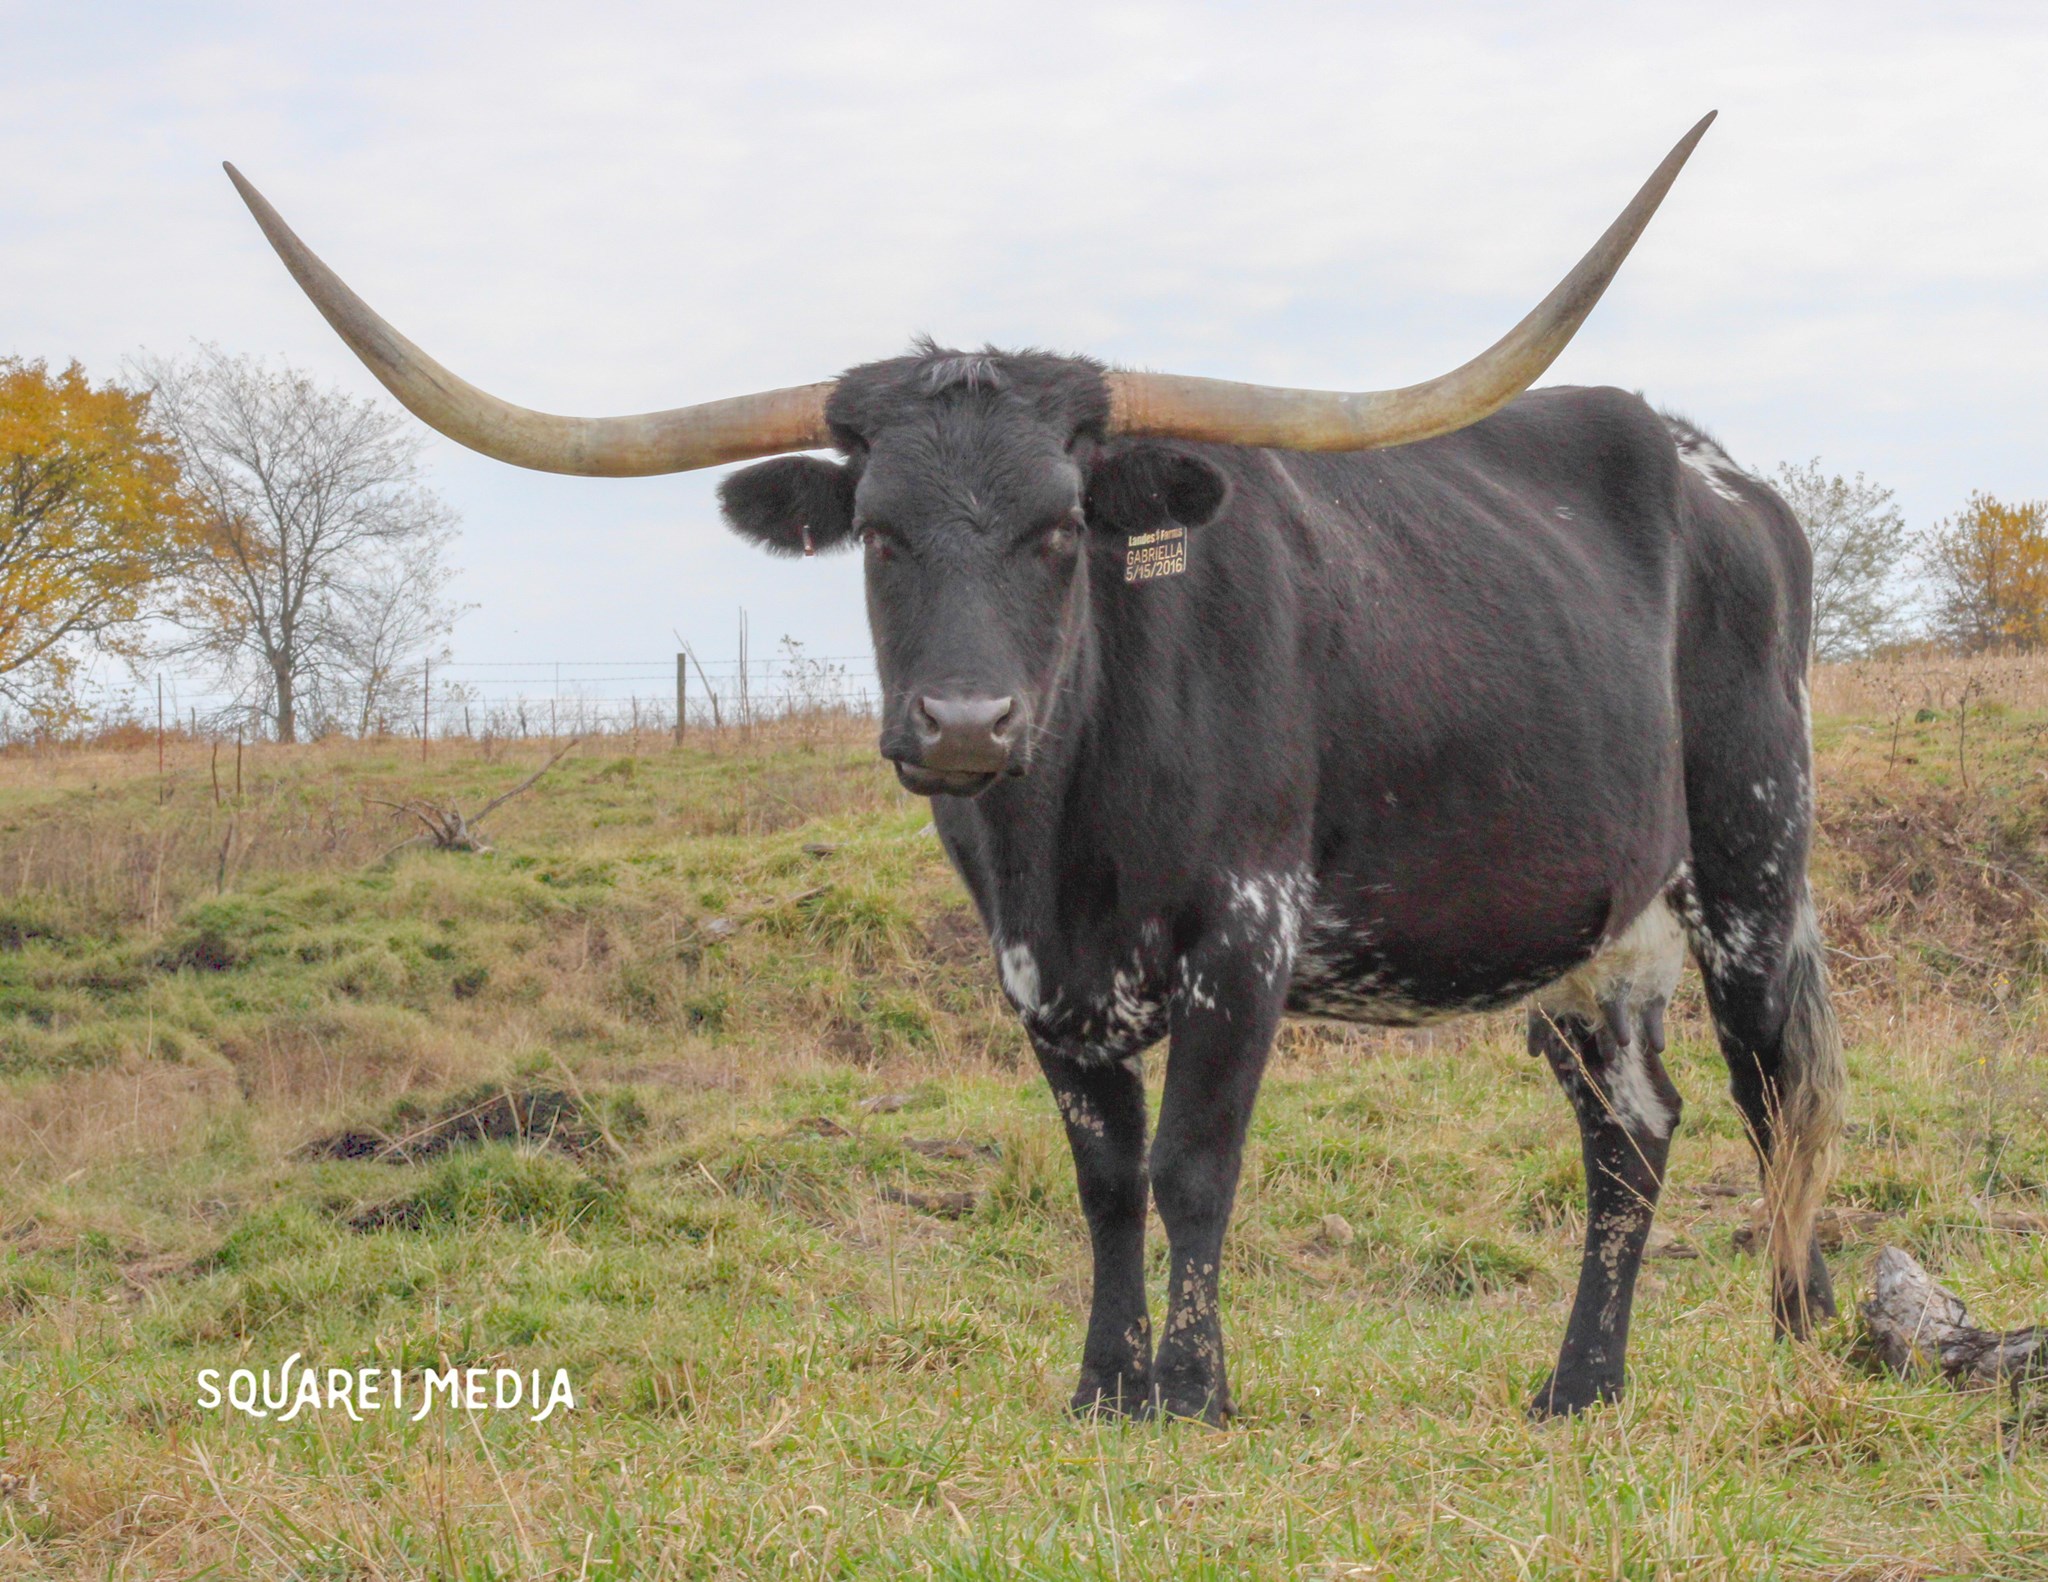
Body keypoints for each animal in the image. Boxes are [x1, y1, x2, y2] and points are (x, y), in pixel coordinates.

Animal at [225, 111, 1845, 1422]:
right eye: (879, 532)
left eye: (1061, 527)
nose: (963, 724)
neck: (1067, 837)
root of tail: (1718, 474)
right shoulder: (1035, 970)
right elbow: (1106, 1177)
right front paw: (1101, 1386)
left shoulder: (1246, 932)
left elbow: (1193, 1163)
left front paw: (1191, 1391)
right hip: (1584, 935)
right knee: (1632, 1130)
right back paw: (1582, 1383)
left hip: (1749, 870)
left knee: (1776, 1086)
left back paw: (1805, 1328)